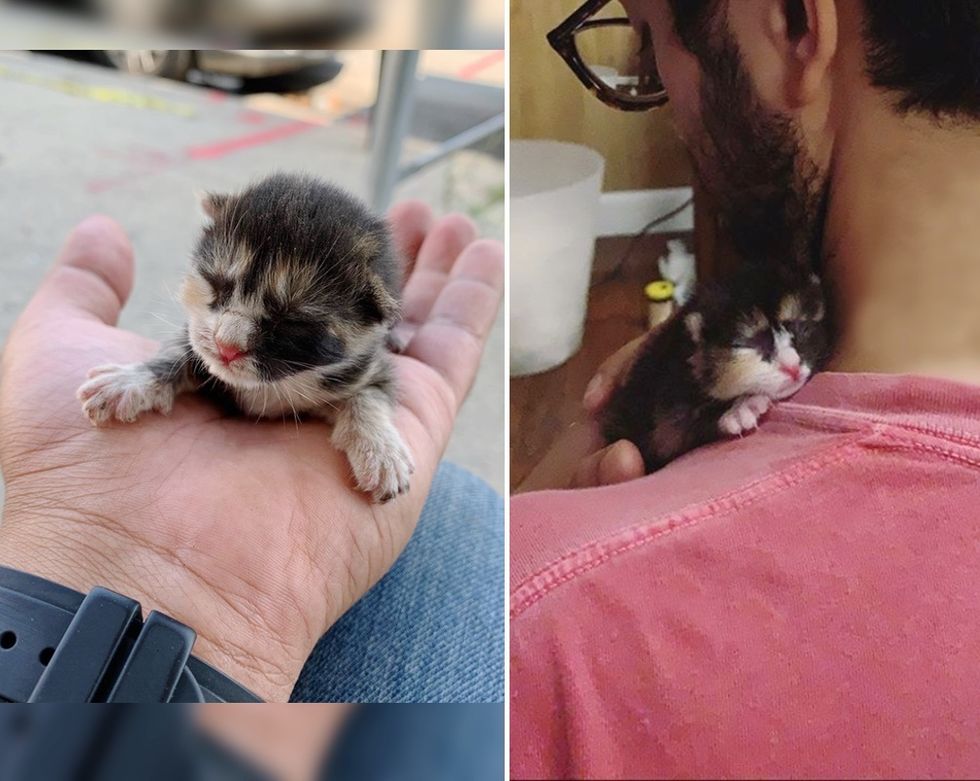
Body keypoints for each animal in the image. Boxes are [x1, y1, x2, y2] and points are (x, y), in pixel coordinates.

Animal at [77, 171, 414, 502]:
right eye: (217, 285)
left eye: (291, 321)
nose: (226, 346)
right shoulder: (196, 338)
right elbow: (178, 352)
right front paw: (130, 380)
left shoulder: (366, 366)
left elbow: (369, 395)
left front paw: (381, 450)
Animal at [604, 268, 828, 472]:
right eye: (749, 343)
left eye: (800, 327)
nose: (792, 367)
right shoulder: (661, 412)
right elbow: (673, 433)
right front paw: (740, 408)